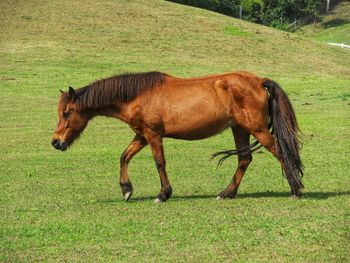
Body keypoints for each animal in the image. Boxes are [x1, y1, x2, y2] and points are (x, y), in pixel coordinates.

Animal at [52, 71, 304, 203]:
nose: (56, 142)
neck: (138, 95)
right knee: (244, 159)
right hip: (239, 129)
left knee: (280, 153)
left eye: (66, 113)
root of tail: (259, 80)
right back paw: (227, 193)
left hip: (257, 129)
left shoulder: (153, 135)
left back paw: (295, 189)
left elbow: (159, 163)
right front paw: (126, 189)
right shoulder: (141, 135)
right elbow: (124, 156)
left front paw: (163, 194)